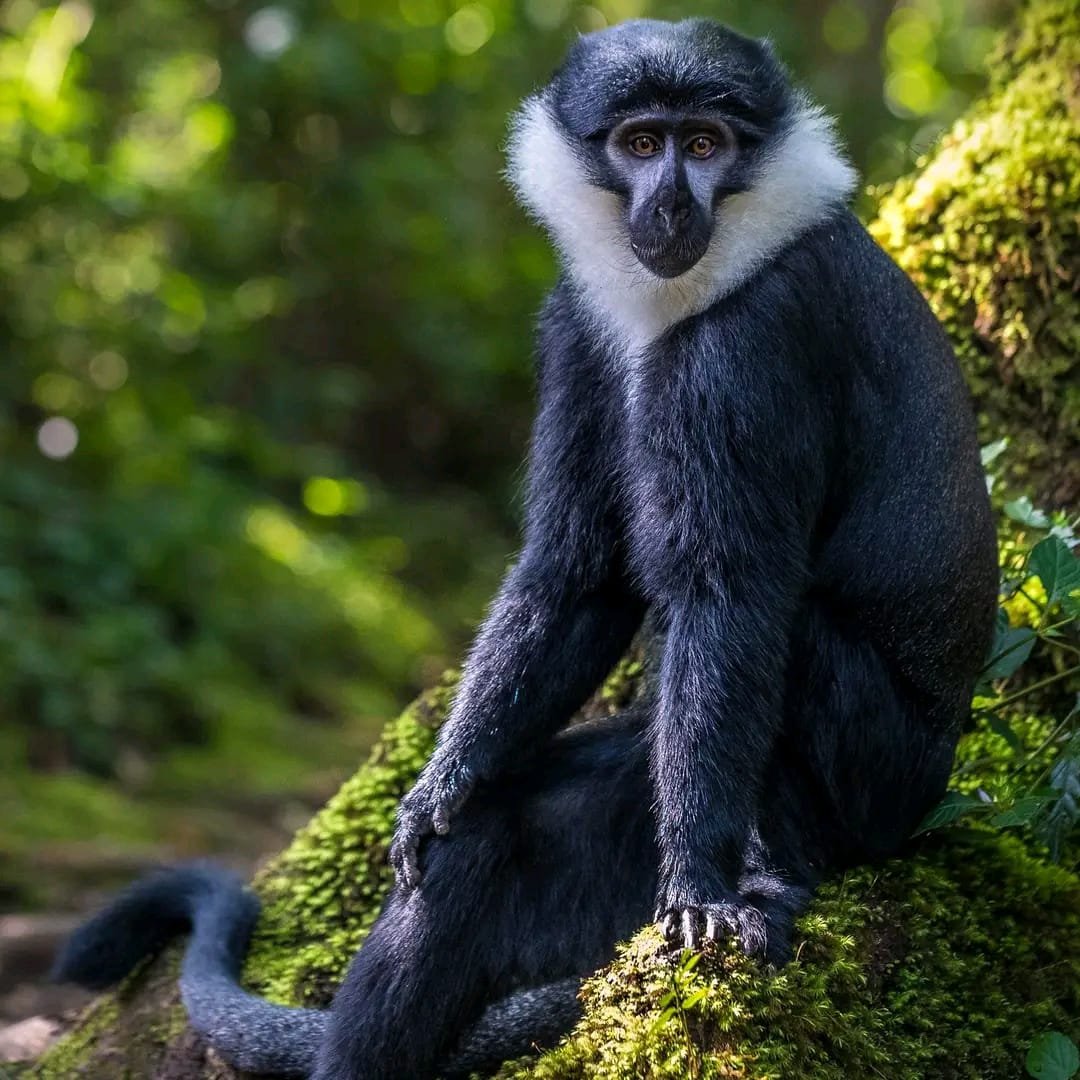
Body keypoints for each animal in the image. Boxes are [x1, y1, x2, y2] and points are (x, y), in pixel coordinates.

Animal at [54, 18, 999, 1080]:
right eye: (641, 143)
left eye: (706, 144)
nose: (672, 200)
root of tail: (935, 772)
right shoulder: (573, 325)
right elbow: (574, 575)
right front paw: (440, 787)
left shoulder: (751, 345)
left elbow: (727, 594)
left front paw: (707, 887)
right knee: (479, 849)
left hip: (873, 775)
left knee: (766, 630)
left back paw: (756, 867)